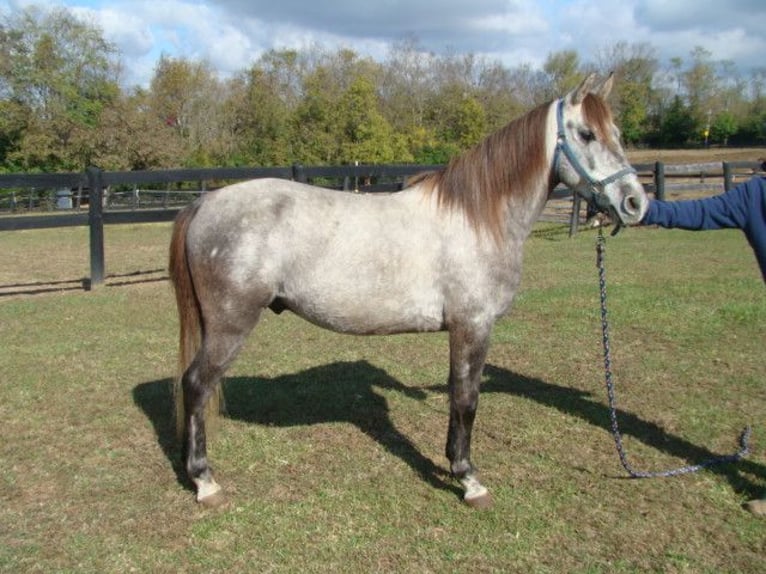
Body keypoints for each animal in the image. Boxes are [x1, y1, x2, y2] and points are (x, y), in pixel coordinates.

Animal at [168, 74, 648, 510]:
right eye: (586, 134)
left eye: (617, 133)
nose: (635, 203)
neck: (478, 218)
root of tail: (205, 203)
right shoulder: (473, 326)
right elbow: (467, 398)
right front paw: (469, 480)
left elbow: (457, 395)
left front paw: (455, 465)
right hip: (230, 326)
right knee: (195, 385)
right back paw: (204, 481)